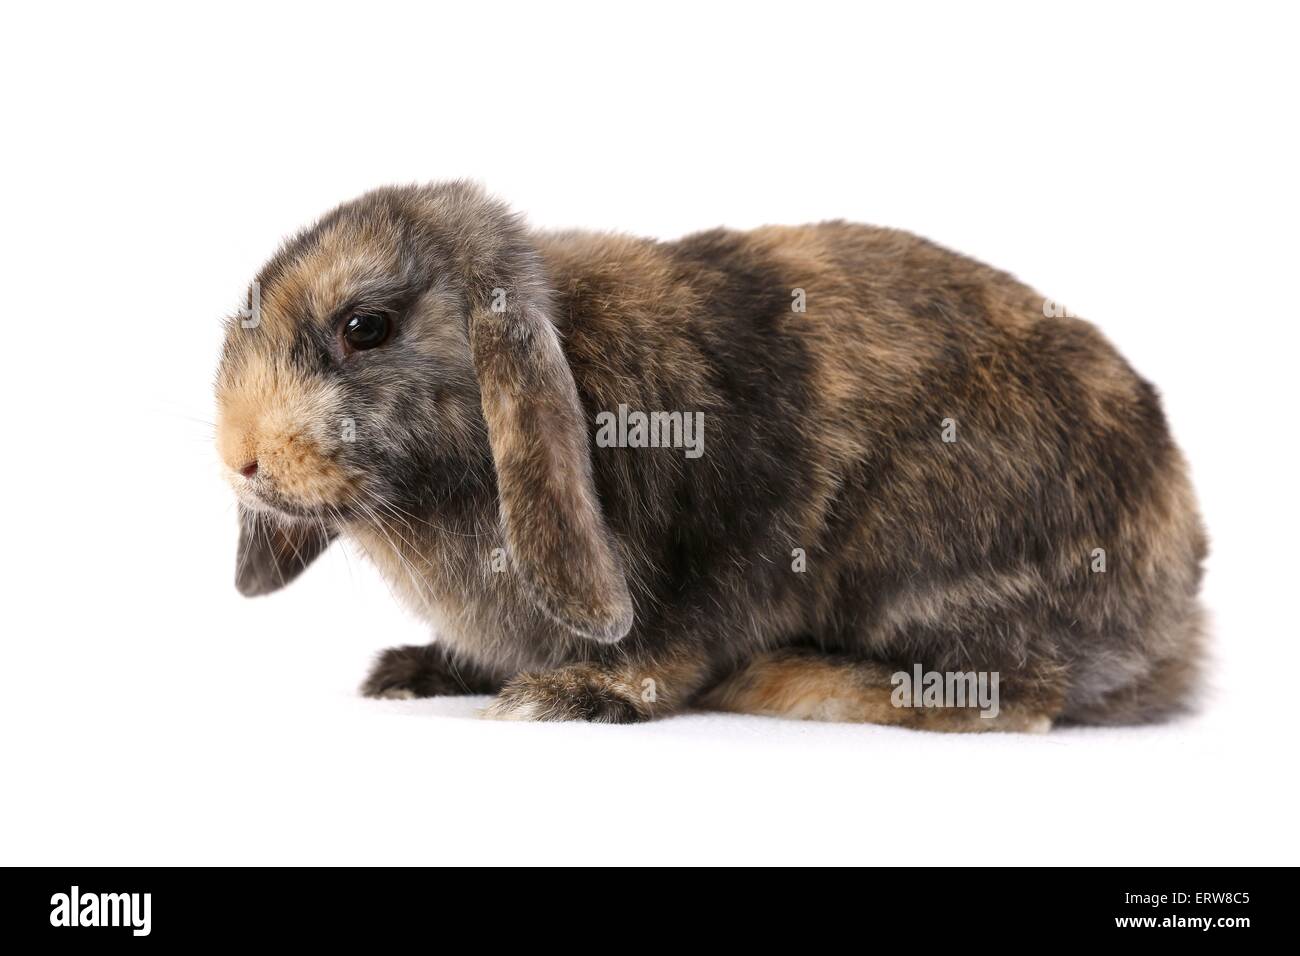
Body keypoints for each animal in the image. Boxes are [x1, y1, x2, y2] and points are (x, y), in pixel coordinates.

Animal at [215, 181, 1207, 731]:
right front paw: (414, 671)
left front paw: (571, 694)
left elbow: (674, 645)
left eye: (365, 328)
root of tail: (1175, 616)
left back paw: (783, 679)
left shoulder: (721, 559)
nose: (240, 457)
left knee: (1015, 696)